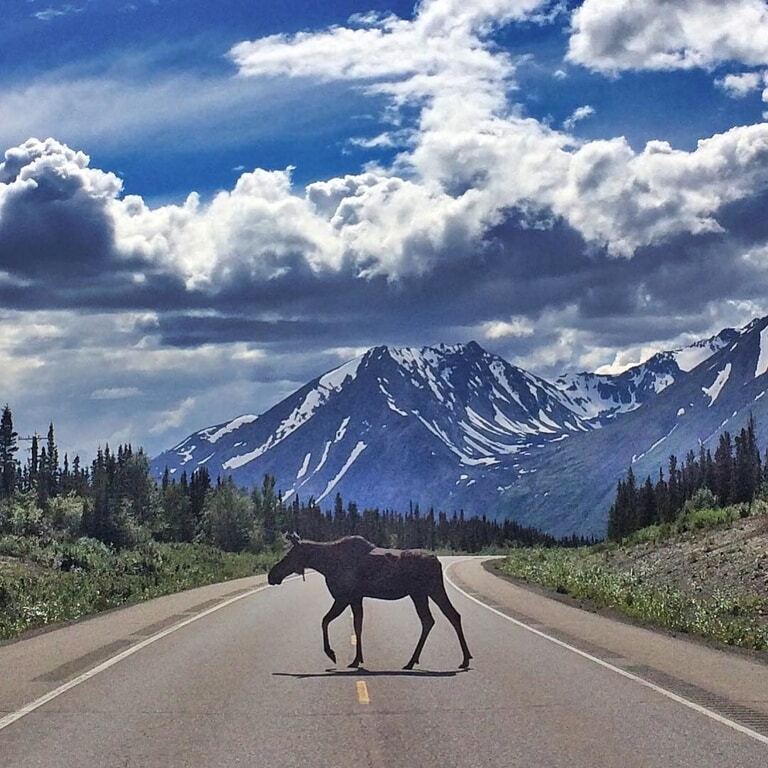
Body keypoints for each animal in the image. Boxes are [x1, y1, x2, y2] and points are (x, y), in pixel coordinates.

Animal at [270, 532, 474, 668]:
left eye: (289, 555)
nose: (271, 575)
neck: (325, 565)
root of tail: (438, 561)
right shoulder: (355, 598)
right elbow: (357, 625)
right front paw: (357, 659)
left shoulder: (344, 597)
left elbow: (325, 621)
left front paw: (333, 654)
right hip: (427, 592)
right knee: (447, 616)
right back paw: (460, 658)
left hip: (423, 592)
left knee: (434, 619)